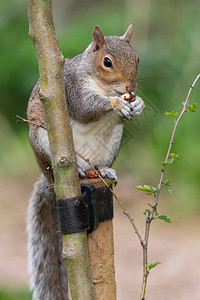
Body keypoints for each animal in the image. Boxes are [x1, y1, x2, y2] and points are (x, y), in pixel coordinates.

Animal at [27, 24, 144, 298]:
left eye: (136, 58)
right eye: (107, 62)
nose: (130, 87)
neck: (104, 87)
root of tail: (49, 182)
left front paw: (138, 104)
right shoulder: (72, 88)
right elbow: (85, 108)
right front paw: (115, 104)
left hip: (111, 145)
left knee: (100, 164)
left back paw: (103, 171)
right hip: (45, 144)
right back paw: (80, 171)